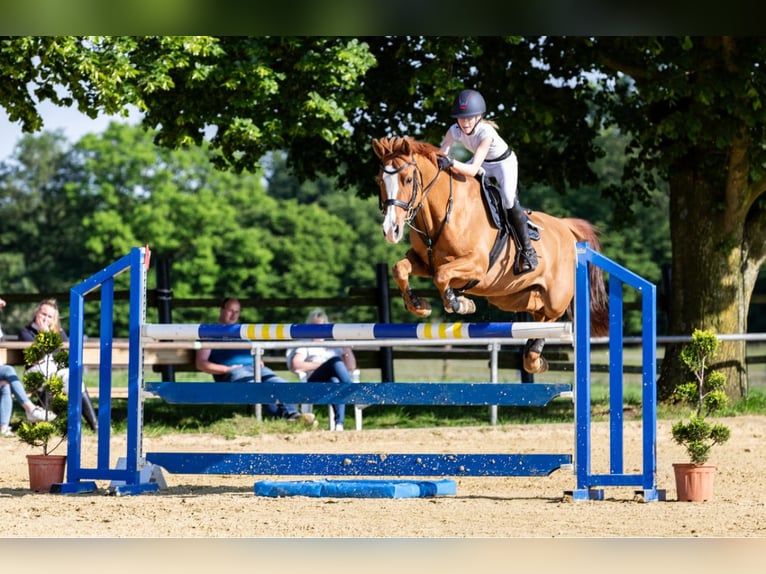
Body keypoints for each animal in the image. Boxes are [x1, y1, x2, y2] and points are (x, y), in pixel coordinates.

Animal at [374, 137, 612, 376]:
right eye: (379, 181)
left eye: (407, 179)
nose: (390, 230)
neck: (443, 213)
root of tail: (566, 227)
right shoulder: (424, 262)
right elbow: (400, 269)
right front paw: (419, 305)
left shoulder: (477, 265)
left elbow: (442, 275)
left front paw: (459, 303)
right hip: (509, 296)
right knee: (537, 309)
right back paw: (532, 353)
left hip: (556, 296)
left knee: (551, 316)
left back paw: (534, 357)